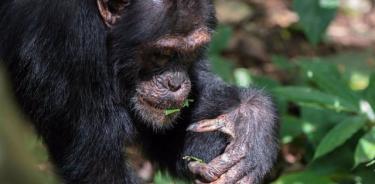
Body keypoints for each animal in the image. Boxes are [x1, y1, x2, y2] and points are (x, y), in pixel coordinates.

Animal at [0, 0, 280, 184]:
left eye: (189, 53)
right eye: (162, 54)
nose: (175, 83)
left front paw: (249, 124)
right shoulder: (66, 42)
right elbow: (96, 167)